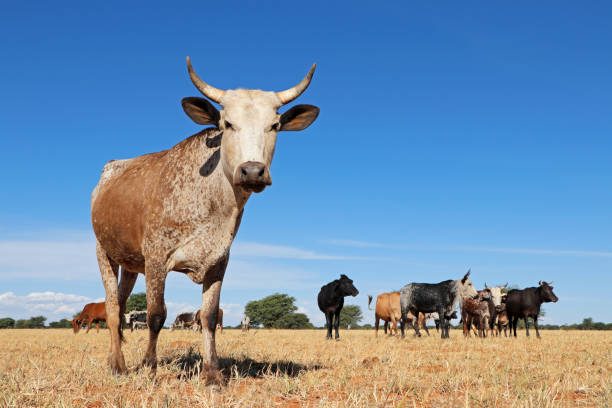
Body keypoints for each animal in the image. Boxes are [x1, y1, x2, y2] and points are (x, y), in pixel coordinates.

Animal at [92, 56, 320, 380]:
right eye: (227, 123)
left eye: (274, 125)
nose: (252, 171)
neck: (213, 204)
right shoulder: (157, 258)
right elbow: (156, 315)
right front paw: (150, 367)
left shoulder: (219, 261)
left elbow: (209, 316)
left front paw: (213, 374)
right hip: (105, 253)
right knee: (112, 308)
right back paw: (118, 365)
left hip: (132, 264)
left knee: (122, 303)